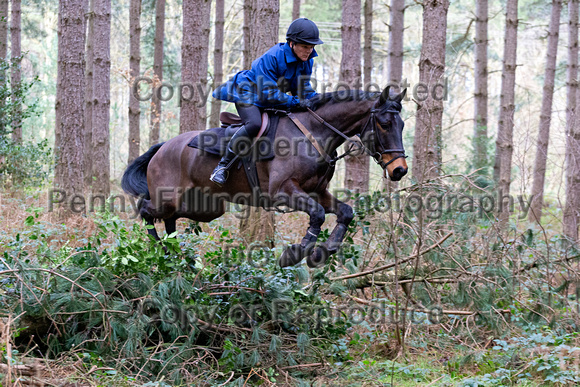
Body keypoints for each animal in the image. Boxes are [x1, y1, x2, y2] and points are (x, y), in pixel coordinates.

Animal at [122, 86, 408, 270]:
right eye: (384, 124)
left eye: (402, 125)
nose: (400, 170)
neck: (313, 134)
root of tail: (163, 147)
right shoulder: (283, 191)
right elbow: (317, 215)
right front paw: (294, 254)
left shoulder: (317, 192)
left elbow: (345, 213)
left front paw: (321, 253)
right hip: (169, 198)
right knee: (146, 209)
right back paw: (162, 250)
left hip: (205, 207)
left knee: (171, 219)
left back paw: (174, 253)